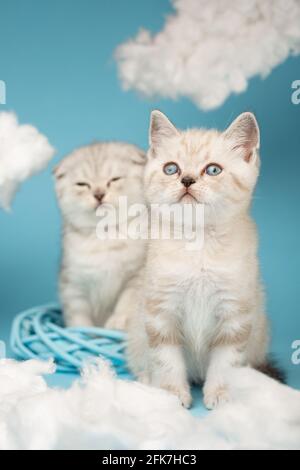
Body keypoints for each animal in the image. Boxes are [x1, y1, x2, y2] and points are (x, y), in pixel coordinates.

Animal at [127, 112, 282, 410]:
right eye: (171, 169)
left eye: (213, 170)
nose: (187, 180)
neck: (198, 243)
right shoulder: (160, 312)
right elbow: (166, 360)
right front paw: (172, 393)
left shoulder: (236, 314)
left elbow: (226, 363)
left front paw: (221, 394)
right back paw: (147, 380)